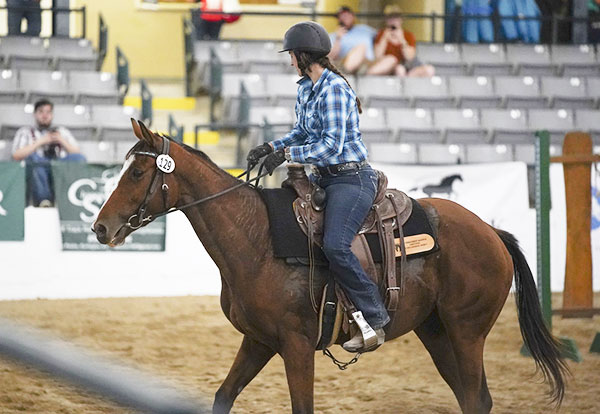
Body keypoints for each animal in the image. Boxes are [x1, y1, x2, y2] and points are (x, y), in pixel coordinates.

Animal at [94, 121, 568, 414]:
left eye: (137, 172)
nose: (101, 227)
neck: (256, 238)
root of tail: (492, 233)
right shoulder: (259, 340)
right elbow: (223, 396)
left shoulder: (297, 345)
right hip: (436, 331)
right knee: (475, 399)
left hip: (467, 331)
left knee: (474, 396)